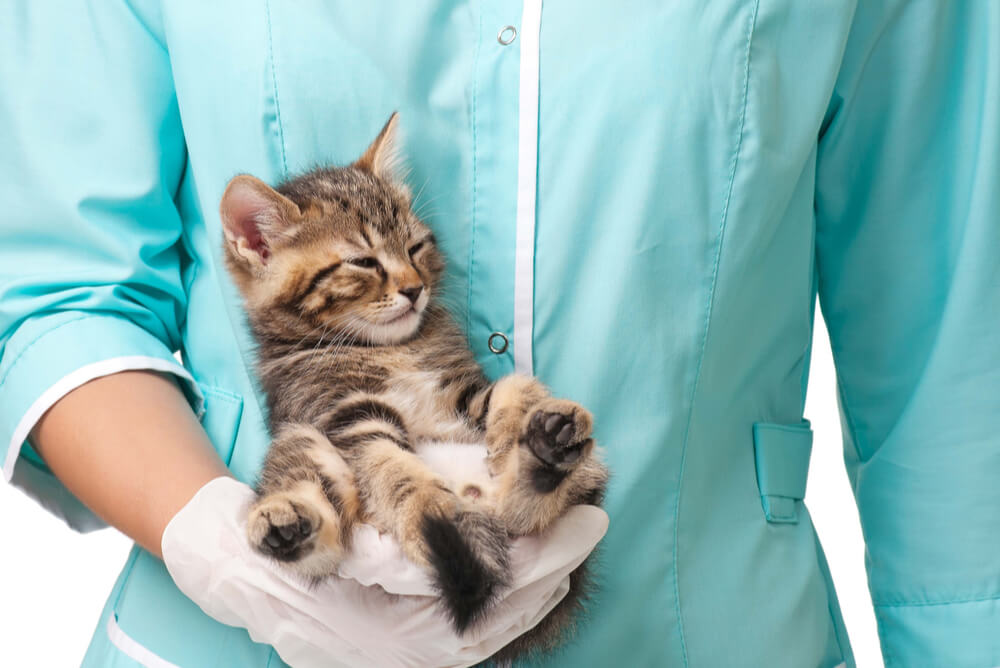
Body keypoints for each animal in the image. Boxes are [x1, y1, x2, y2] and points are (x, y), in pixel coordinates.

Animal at [221, 115, 608, 656]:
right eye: (363, 262)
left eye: (414, 247)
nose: (414, 288)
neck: (388, 347)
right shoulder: (340, 410)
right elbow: (390, 464)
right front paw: (430, 510)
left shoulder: (460, 391)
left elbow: (513, 385)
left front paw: (515, 424)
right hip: (300, 437)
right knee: (321, 536)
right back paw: (288, 525)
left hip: (585, 476)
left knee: (533, 511)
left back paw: (545, 448)